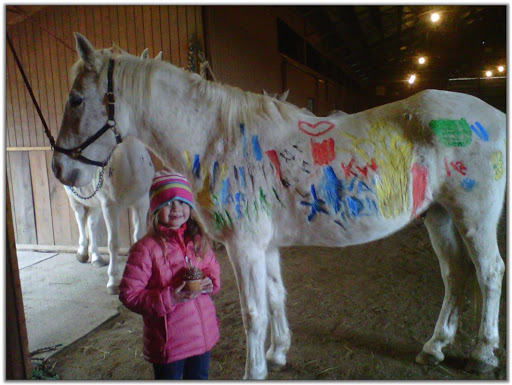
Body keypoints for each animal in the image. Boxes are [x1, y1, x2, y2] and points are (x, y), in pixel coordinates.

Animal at [51, 33, 504, 378]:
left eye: (76, 100)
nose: (59, 169)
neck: (219, 139)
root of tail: (492, 114)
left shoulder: (245, 246)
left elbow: (253, 312)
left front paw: (254, 370)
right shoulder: (263, 246)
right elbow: (274, 297)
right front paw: (277, 354)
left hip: (474, 218)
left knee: (489, 273)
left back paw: (482, 354)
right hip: (439, 216)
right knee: (455, 274)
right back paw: (435, 346)